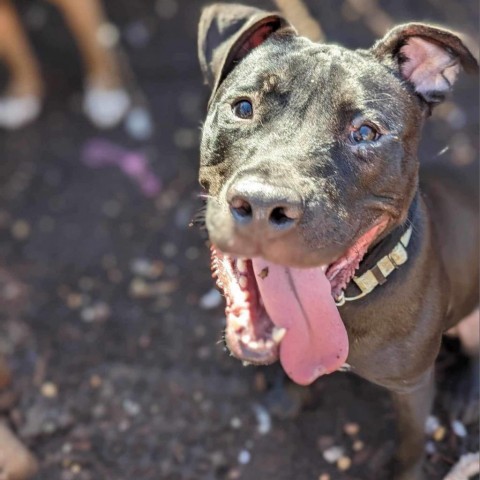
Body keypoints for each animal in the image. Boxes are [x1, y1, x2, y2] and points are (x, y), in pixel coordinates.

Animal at [197, 4, 478, 480]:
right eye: (243, 108)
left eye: (366, 132)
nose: (263, 204)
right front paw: (287, 395)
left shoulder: (412, 386)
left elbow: (411, 445)